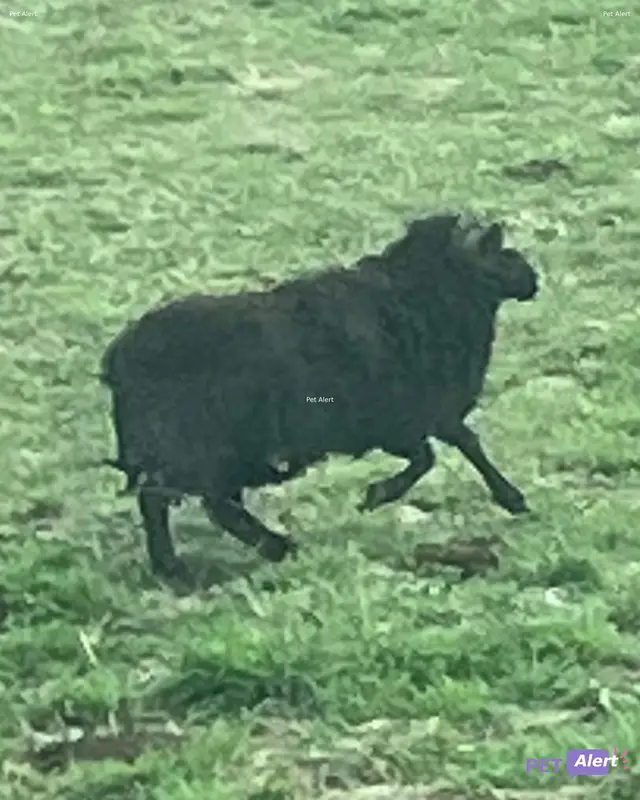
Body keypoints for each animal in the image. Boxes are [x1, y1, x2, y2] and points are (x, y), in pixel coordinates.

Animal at [100, 211, 539, 581]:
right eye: (495, 247)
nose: (533, 278)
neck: (420, 298)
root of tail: (120, 359)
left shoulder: (423, 416)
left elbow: (459, 446)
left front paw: (511, 498)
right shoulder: (404, 419)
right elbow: (433, 456)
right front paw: (377, 495)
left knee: (201, 502)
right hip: (198, 446)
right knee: (177, 501)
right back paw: (218, 558)